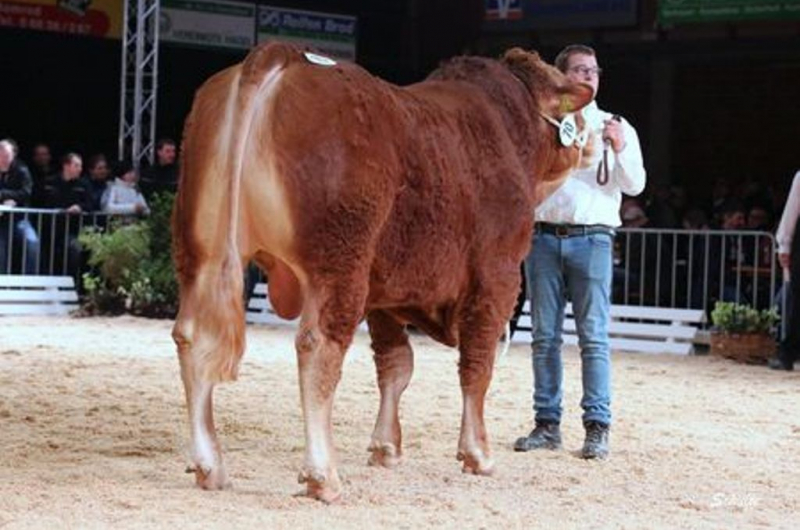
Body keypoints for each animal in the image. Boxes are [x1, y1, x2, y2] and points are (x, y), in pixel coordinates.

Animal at [172, 41, 592, 500]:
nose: (591, 138)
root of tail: (281, 55)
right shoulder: (496, 277)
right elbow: (477, 366)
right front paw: (477, 454)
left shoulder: (387, 292)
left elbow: (396, 365)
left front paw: (385, 447)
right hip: (339, 260)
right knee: (318, 347)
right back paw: (323, 476)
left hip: (200, 252)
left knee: (192, 338)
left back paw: (209, 465)